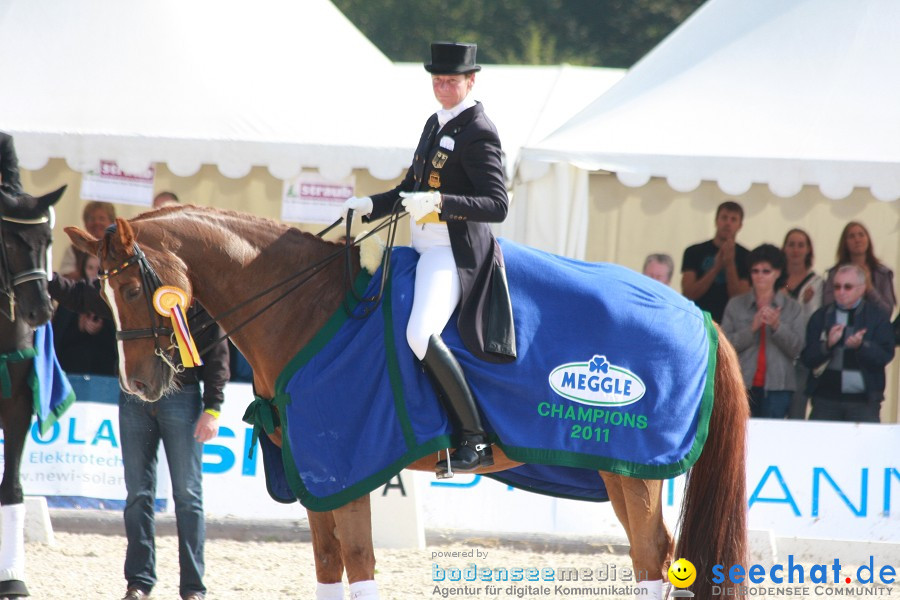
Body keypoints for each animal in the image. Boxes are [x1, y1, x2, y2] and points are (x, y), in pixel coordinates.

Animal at [67, 207, 748, 600]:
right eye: (101, 292)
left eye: (133, 288)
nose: (138, 387)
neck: (307, 309)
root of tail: (700, 314)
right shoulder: (316, 477)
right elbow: (328, 565)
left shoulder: (347, 472)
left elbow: (361, 562)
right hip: (617, 473)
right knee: (650, 558)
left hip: (635, 472)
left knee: (654, 556)